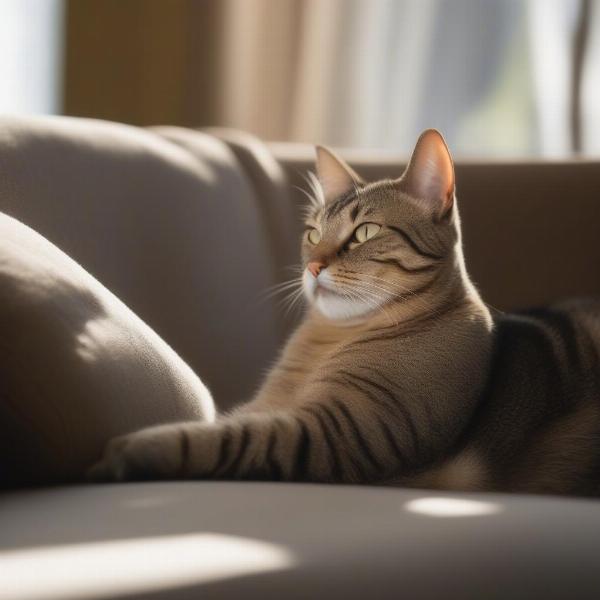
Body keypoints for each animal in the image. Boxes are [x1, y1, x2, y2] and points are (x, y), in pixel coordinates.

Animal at [89, 129, 600, 494]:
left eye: (364, 233)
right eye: (313, 234)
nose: (313, 266)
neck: (331, 339)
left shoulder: (337, 435)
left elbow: (225, 438)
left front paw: (130, 449)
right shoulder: (270, 407)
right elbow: (231, 421)